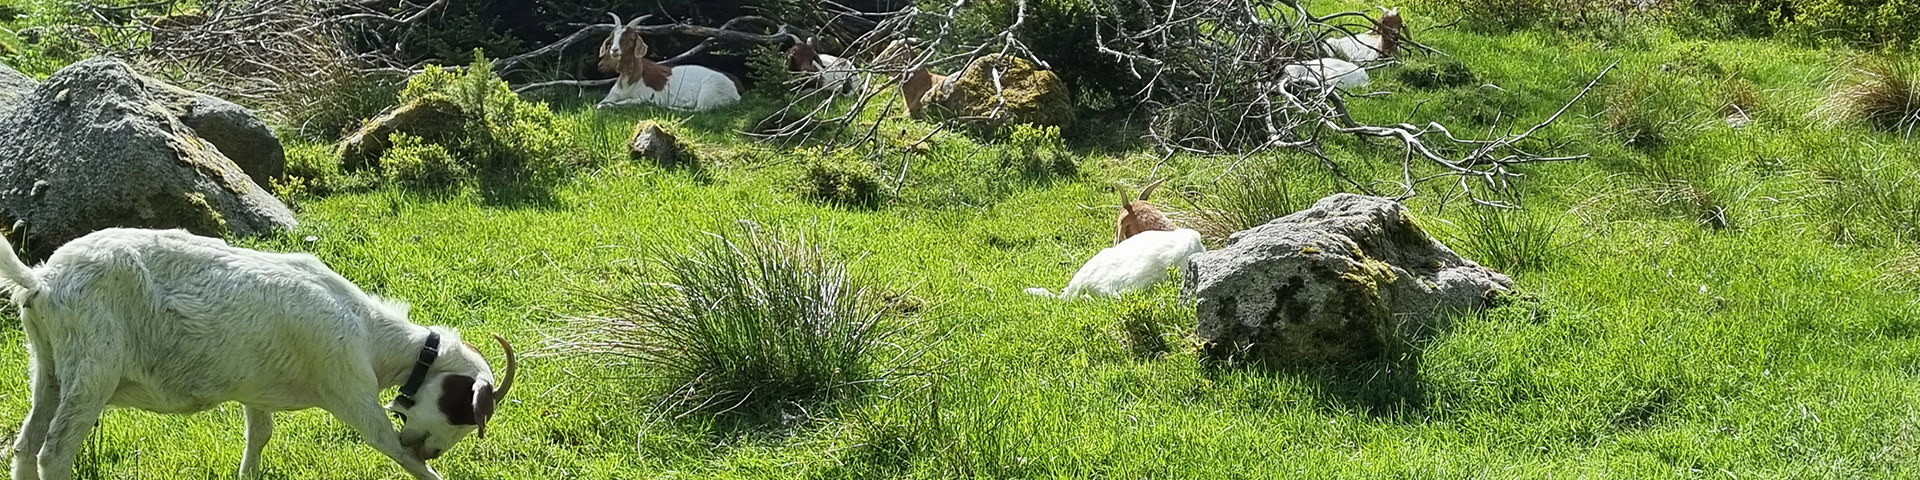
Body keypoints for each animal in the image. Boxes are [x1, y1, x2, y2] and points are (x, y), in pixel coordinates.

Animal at [0, 228, 518, 480]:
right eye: (461, 411)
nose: (428, 447)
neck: (371, 334)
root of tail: (41, 280)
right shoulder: (348, 387)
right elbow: (388, 446)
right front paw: (427, 468)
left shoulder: (257, 391)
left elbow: (259, 436)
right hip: (92, 367)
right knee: (54, 452)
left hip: (48, 366)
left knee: (25, 446)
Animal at [595, 12, 744, 111]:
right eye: (611, 39)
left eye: (631, 39)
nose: (614, 50)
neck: (630, 80)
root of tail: (737, 91)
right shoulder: (612, 95)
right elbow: (599, 104)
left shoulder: (648, 97)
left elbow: (626, 102)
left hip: (710, 93)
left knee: (701, 110)